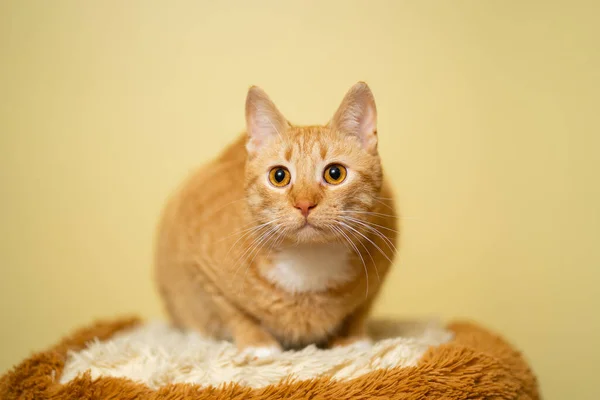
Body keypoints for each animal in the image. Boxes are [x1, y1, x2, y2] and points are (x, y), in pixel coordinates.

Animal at [156, 83, 398, 358]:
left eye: (335, 173)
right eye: (279, 176)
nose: (304, 204)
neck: (308, 261)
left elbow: (359, 310)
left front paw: (352, 339)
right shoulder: (198, 267)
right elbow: (232, 312)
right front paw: (257, 344)